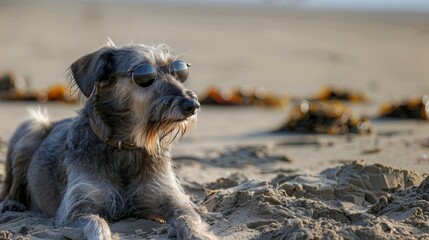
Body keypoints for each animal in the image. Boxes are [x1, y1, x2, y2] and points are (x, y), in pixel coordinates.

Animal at [0, 40, 214, 239]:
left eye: (178, 72)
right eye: (144, 76)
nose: (192, 104)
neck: (124, 146)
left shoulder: (168, 197)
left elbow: (188, 217)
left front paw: (200, 234)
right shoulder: (77, 209)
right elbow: (97, 223)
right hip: (32, 127)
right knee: (11, 183)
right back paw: (12, 203)